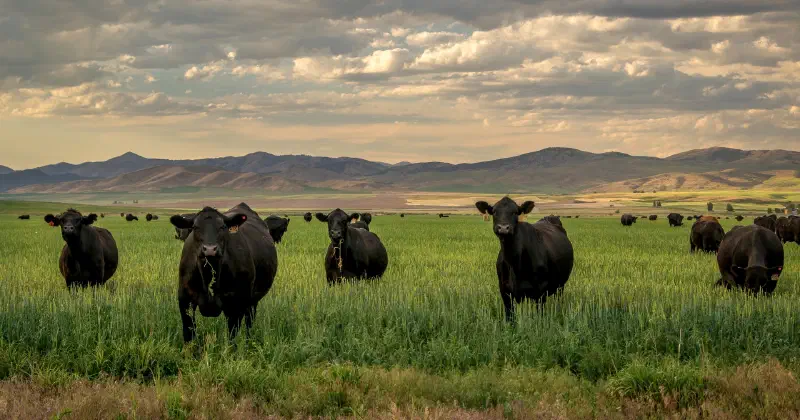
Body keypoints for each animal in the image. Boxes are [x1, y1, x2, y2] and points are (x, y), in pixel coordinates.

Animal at [170, 203, 278, 342]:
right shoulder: (185, 299)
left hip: (252, 300)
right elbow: (189, 334)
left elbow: (233, 336)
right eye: (195, 227)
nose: (210, 249)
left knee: (249, 322)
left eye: (222, 227)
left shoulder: (236, 303)